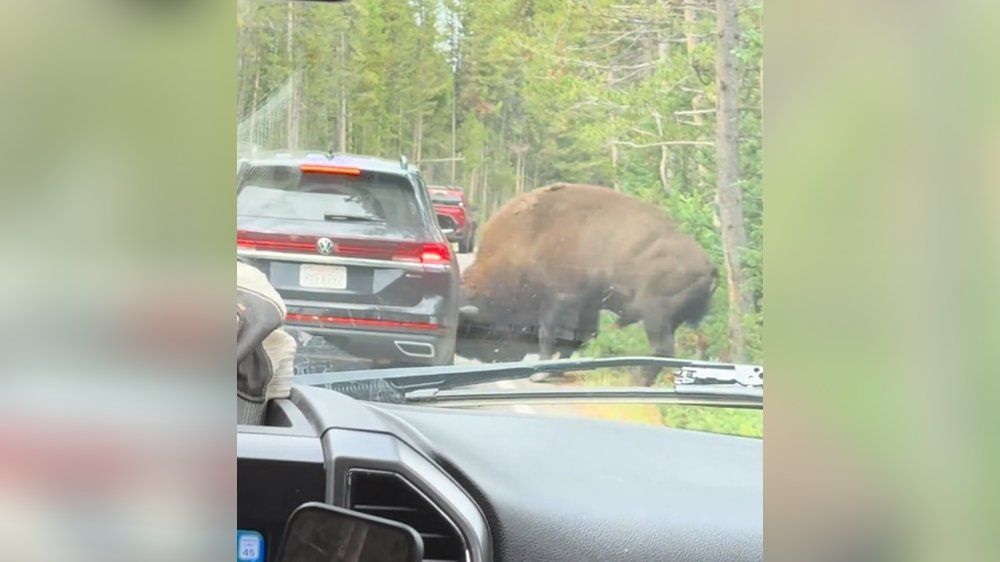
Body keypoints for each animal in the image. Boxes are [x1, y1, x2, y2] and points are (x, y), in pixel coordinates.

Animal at [456, 183, 717, 384]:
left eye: (474, 325)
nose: (468, 353)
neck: (529, 239)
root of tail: (709, 266)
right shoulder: (587, 306)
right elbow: (580, 337)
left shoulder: (559, 300)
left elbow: (548, 334)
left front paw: (539, 375)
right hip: (685, 320)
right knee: (699, 343)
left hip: (656, 316)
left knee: (663, 349)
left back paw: (637, 379)